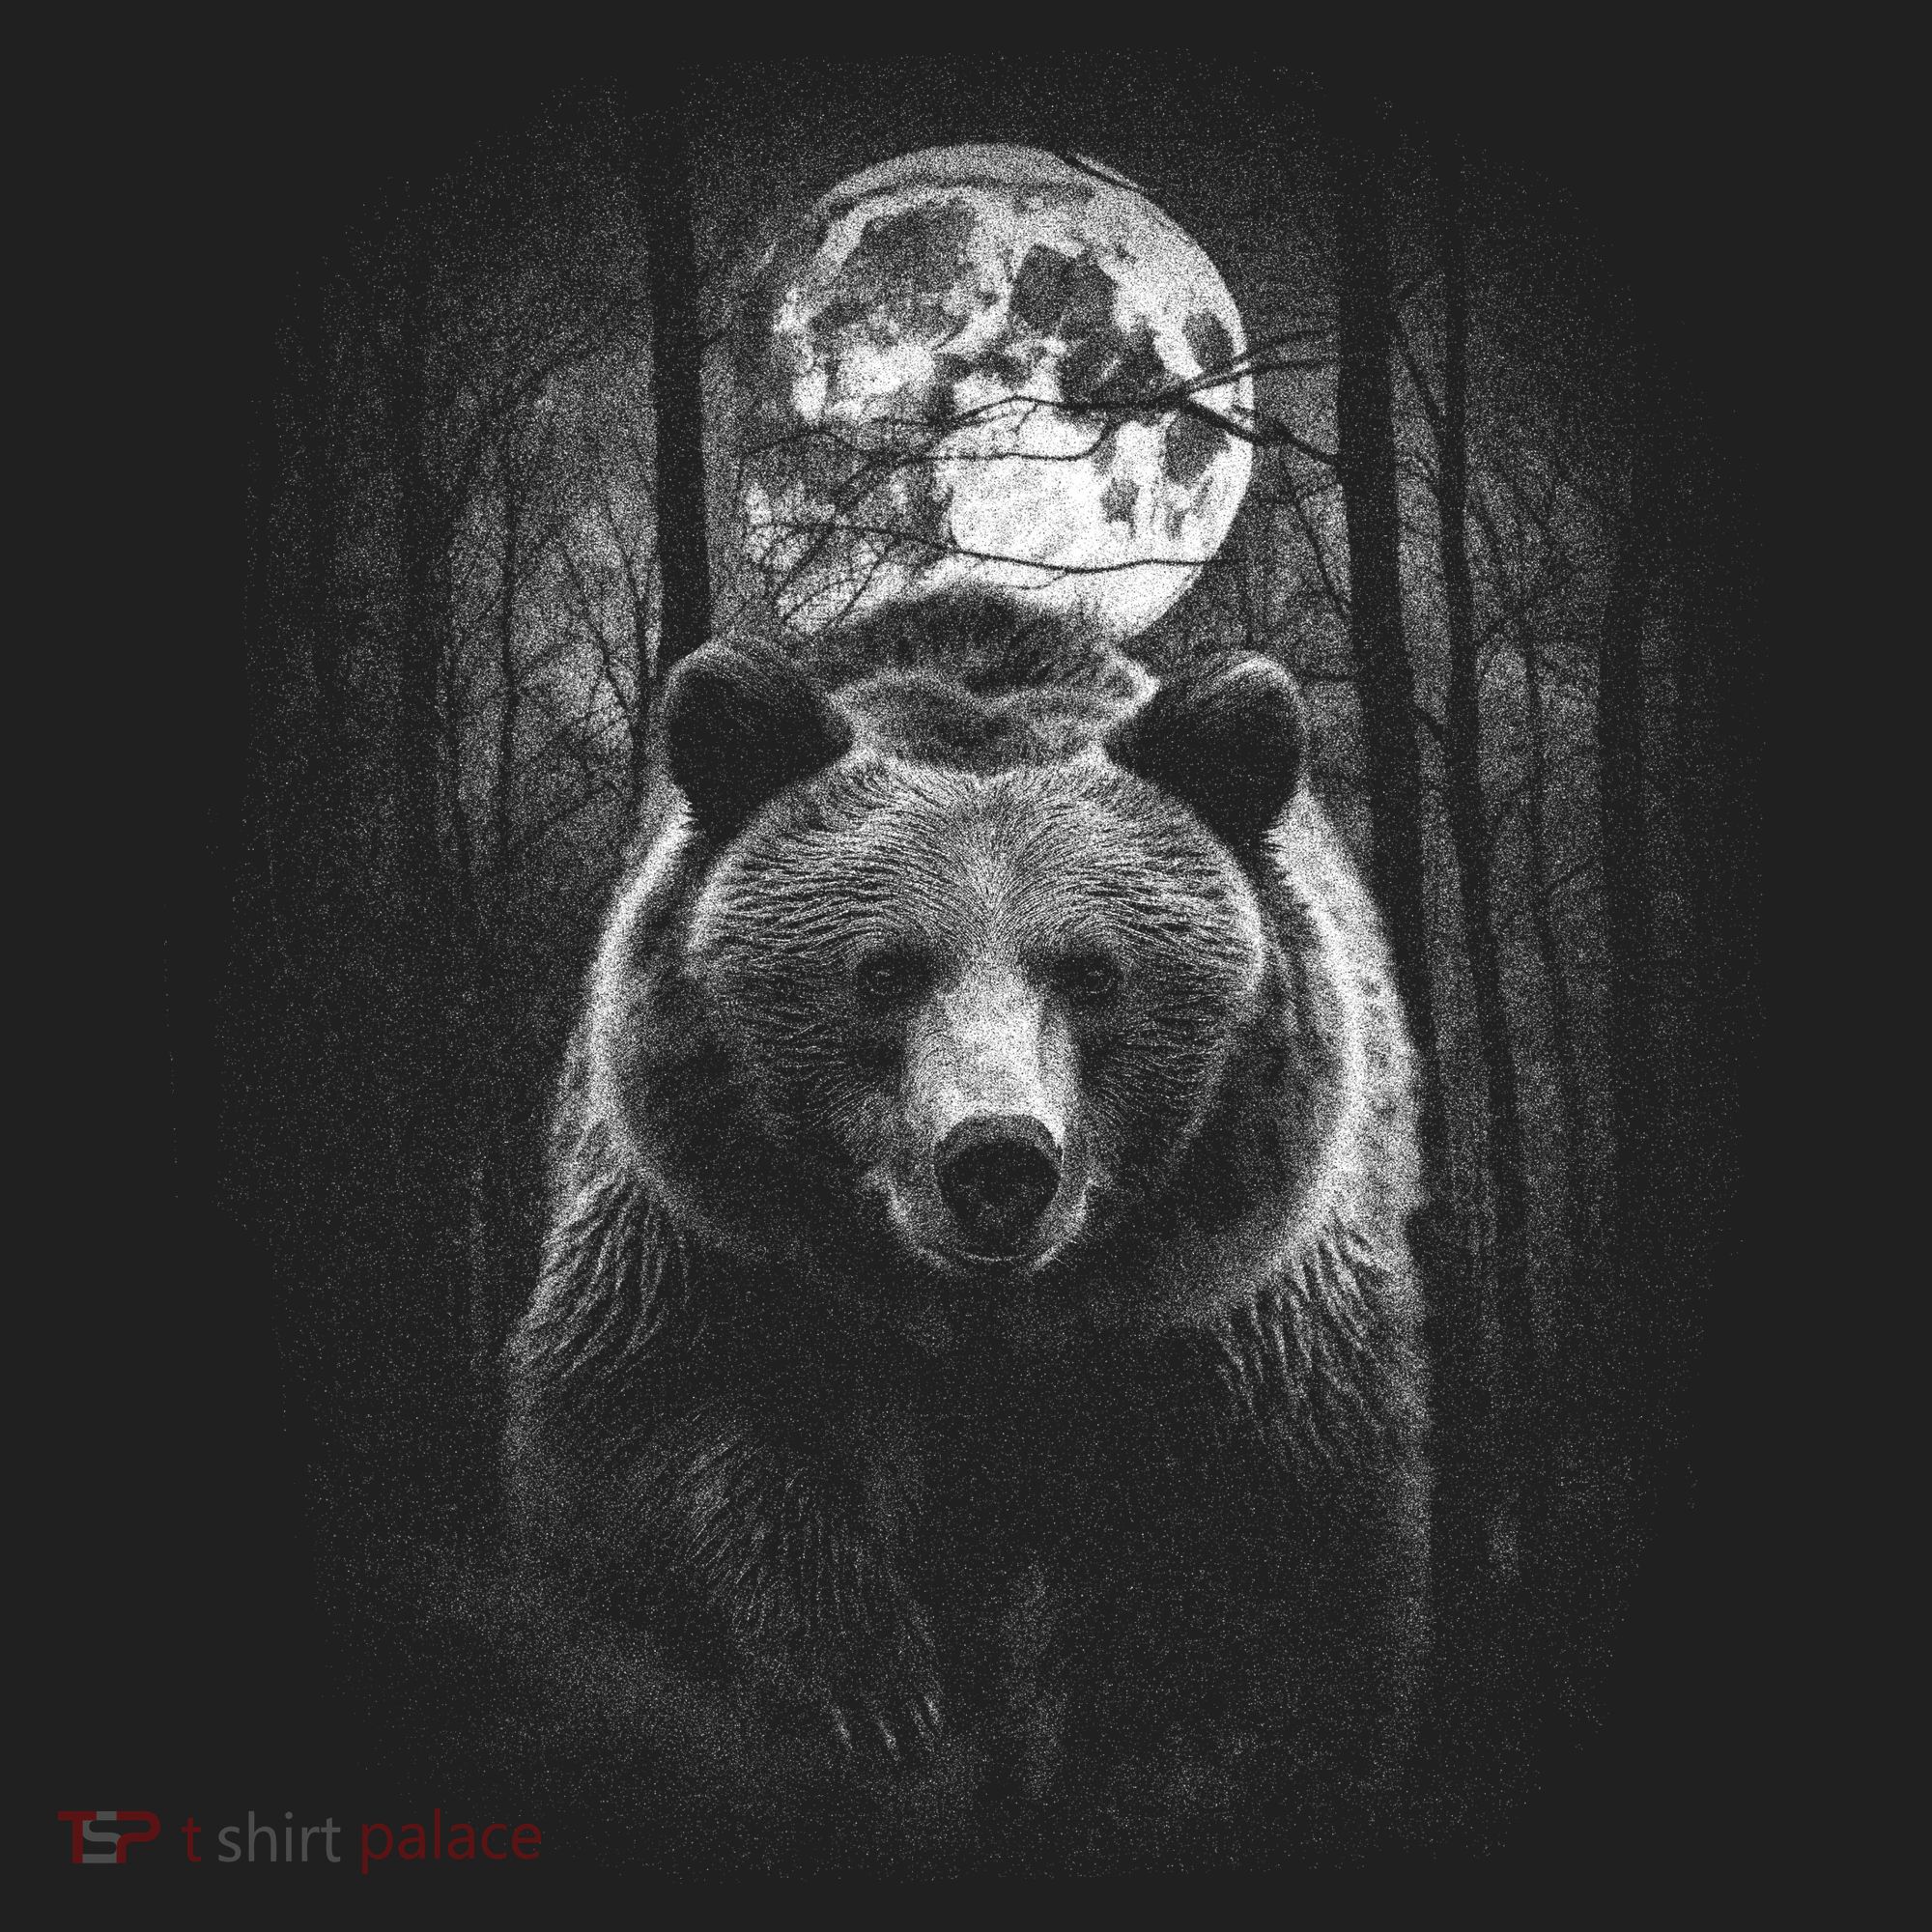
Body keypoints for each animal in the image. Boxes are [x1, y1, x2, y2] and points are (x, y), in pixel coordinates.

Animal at [504, 597, 1429, 1867]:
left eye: (1091, 970)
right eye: (884, 969)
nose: (997, 1159)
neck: (987, 1323)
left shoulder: (1235, 1319)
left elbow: (1269, 1589)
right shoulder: (706, 1241)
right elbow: (652, 1455)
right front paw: (873, 1690)